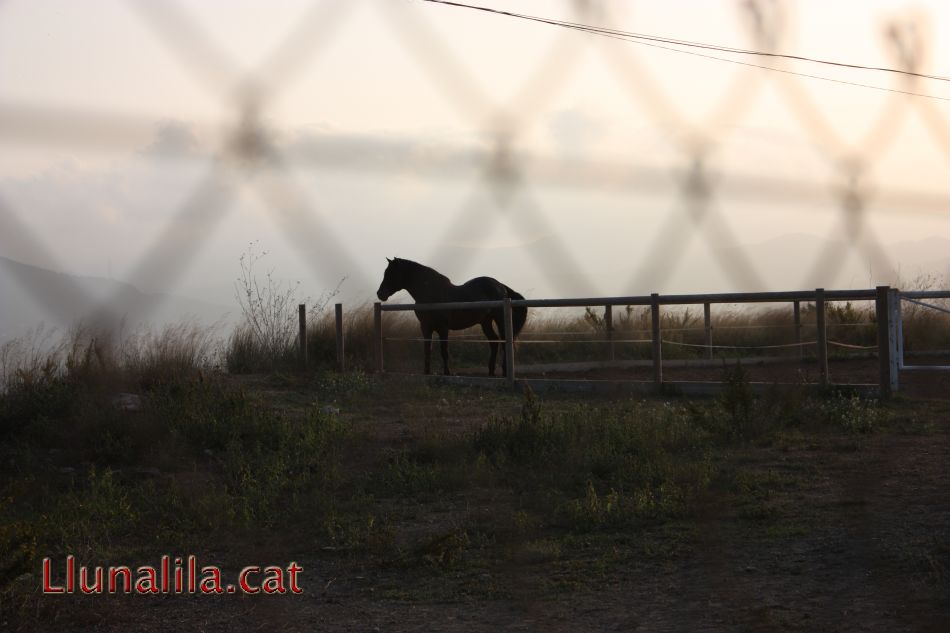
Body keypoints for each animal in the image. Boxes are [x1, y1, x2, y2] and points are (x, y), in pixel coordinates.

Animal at [378, 256, 528, 376]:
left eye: (391, 273)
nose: (380, 294)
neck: (431, 294)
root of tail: (501, 286)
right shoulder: (425, 327)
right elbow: (427, 350)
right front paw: (426, 372)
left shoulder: (443, 328)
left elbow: (444, 351)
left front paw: (447, 373)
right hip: (485, 322)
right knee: (494, 341)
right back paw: (491, 372)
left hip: (500, 319)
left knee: (504, 342)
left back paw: (504, 371)